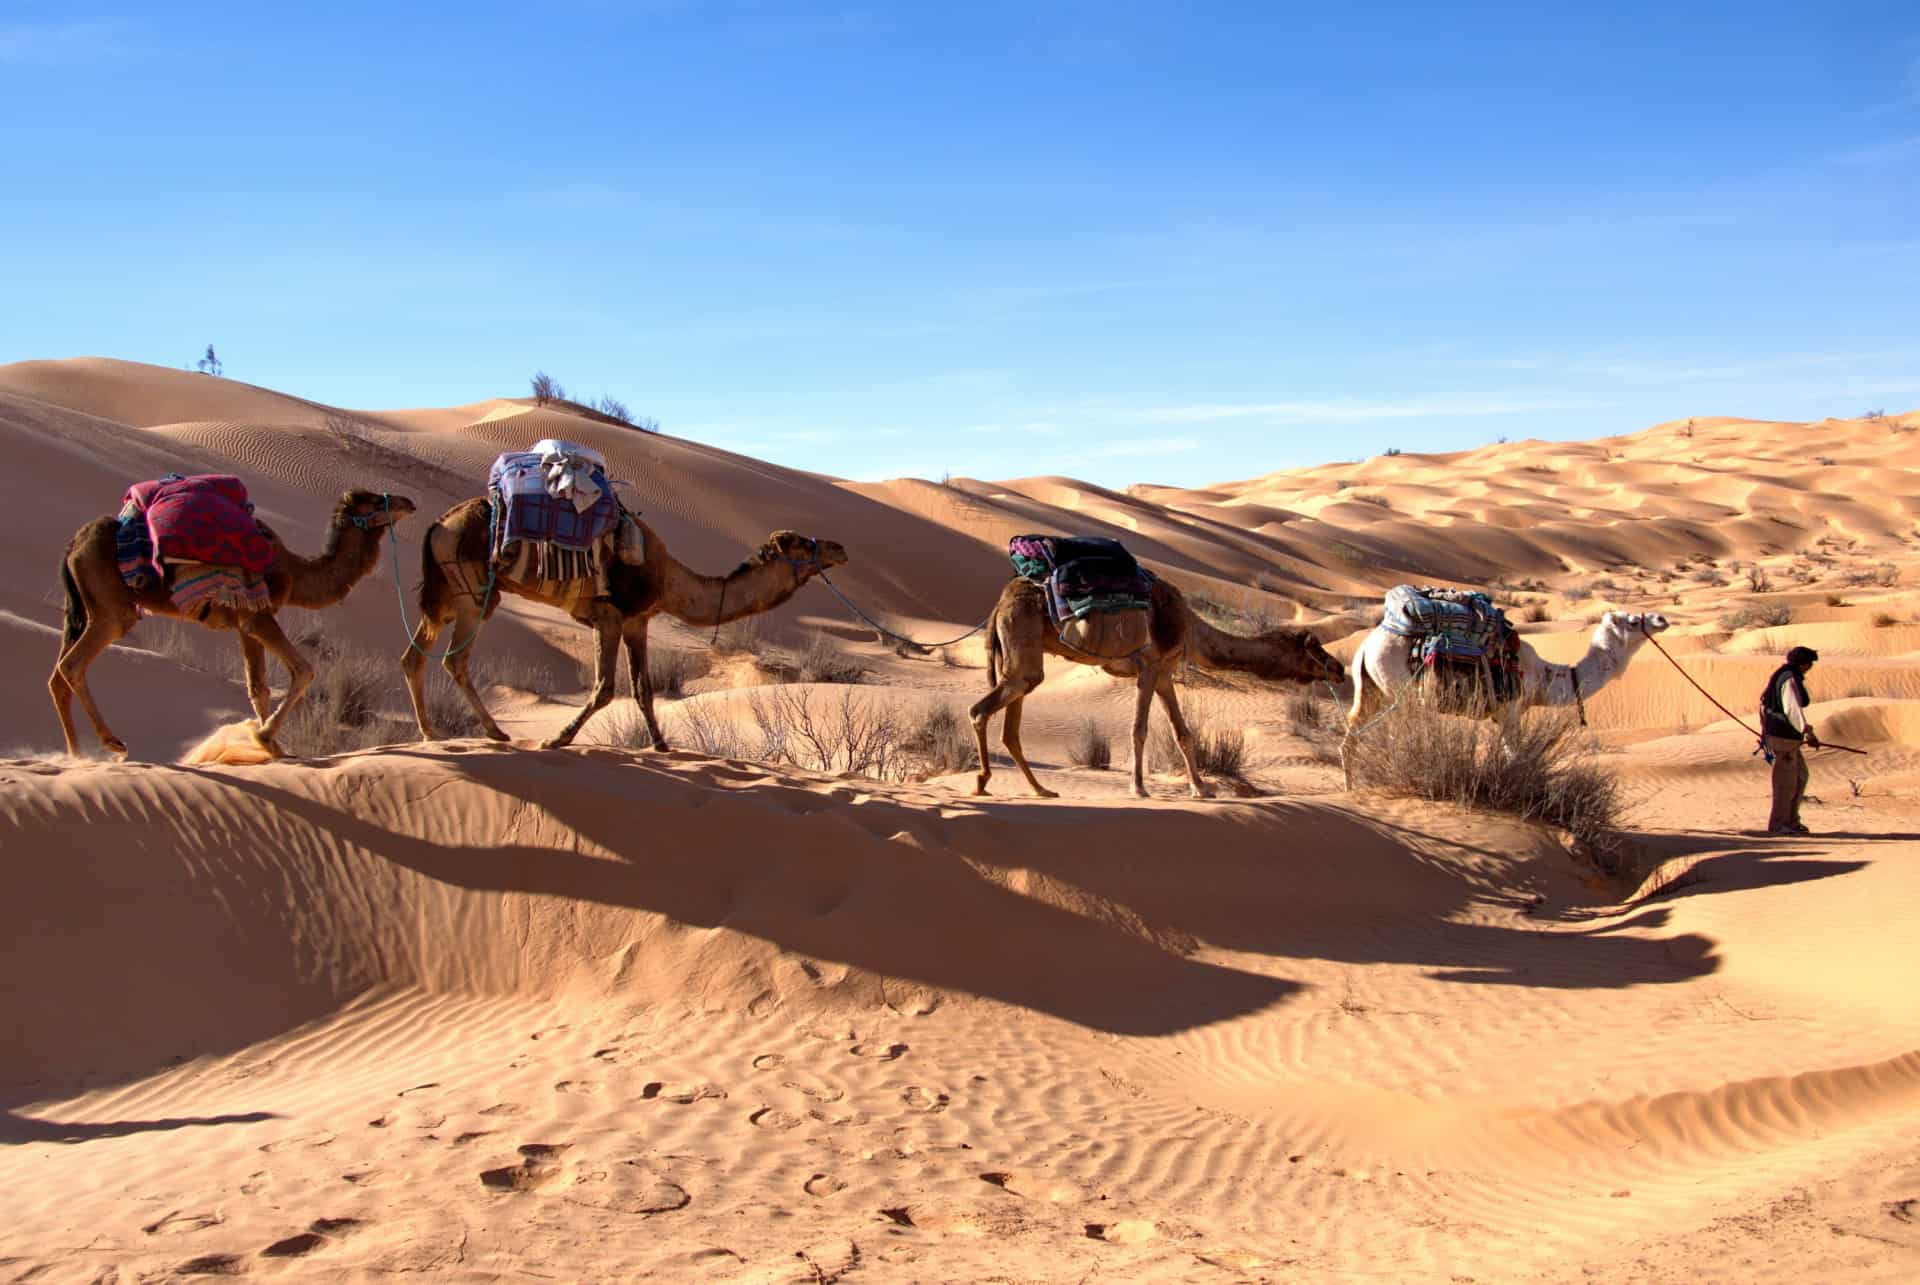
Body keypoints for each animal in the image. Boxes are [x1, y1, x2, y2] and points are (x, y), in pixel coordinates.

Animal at [52, 487, 418, 752]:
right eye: (375, 499)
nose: (409, 502)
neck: (294, 572)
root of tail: (73, 546)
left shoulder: (244, 623)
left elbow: (258, 688)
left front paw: (274, 749)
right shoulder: (259, 617)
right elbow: (304, 670)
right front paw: (264, 738)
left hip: (83, 609)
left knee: (57, 676)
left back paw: (76, 756)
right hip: (112, 610)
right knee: (73, 665)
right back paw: (112, 743)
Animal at [399, 495, 848, 745]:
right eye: (799, 543)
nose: (839, 548)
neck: (668, 579)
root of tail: (437, 523)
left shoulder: (637, 622)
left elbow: (643, 690)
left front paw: (661, 746)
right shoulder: (608, 616)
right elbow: (604, 689)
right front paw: (558, 740)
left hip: (446, 593)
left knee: (413, 656)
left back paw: (430, 733)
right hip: (474, 592)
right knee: (454, 659)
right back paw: (494, 732)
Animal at [967, 572, 1344, 795]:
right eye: (1315, 648)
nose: (1340, 668)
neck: (1190, 628)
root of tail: (999, 604)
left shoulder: (1164, 674)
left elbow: (1183, 732)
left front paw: (1201, 789)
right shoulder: (1148, 668)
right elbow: (1139, 730)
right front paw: (1138, 788)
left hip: (1018, 655)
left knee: (1010, 726)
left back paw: (1040, 790)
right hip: (1024, 643)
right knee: (980, 709)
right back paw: (983, 782)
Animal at [1344, 606, 1674, 787]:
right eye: (1632, 621)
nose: (1660, 618)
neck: (1544, 676)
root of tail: (1366, 646)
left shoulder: (1501, 715)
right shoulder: (1511, 711)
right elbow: (1516, 757)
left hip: (1371, 689)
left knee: (1353, 731)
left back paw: (1351, 787)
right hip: (1401, 693)